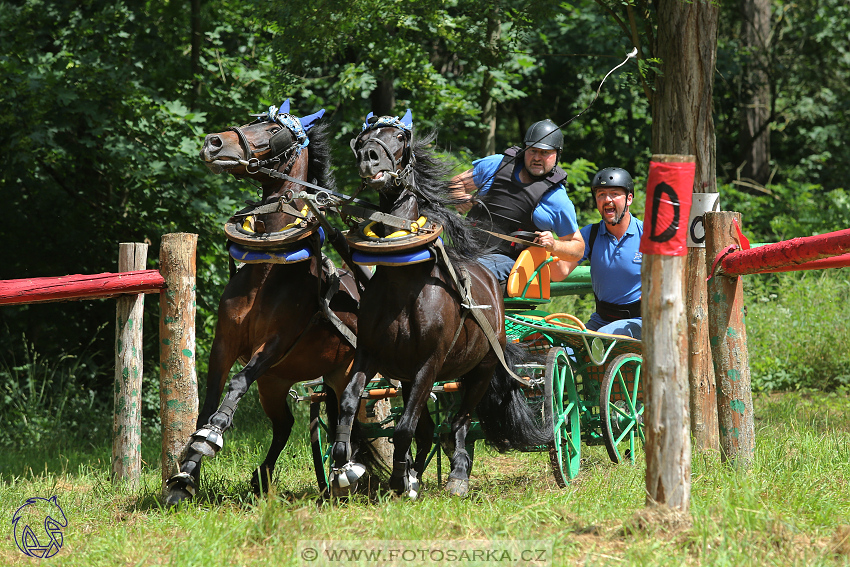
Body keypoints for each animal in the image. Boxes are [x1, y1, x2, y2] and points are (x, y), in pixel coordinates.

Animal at [163, 102, 362, 506]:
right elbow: (208, 401)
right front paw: (184, 478)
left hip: (350, 369)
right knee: (288, 425)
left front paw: (212, 435)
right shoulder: (224, 343)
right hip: (280, 382)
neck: (271, 264)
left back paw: (343, 472)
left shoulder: (274, 344)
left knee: (348, 410)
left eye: (273, 129)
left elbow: (238, 382)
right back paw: (266, 477)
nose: (213, 142)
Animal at [324, 113, 548, 500]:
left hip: (480, 371)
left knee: (458, 422)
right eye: (363, 139)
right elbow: (351, 402)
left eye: (399, 137)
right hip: (407, 375)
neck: (403, 283)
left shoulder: (429, 363)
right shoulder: (370, 353)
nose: (369, 157)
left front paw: (400, 481)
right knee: (430, 428)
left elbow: (403, 428)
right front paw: (343, 464)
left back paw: (456, 475)